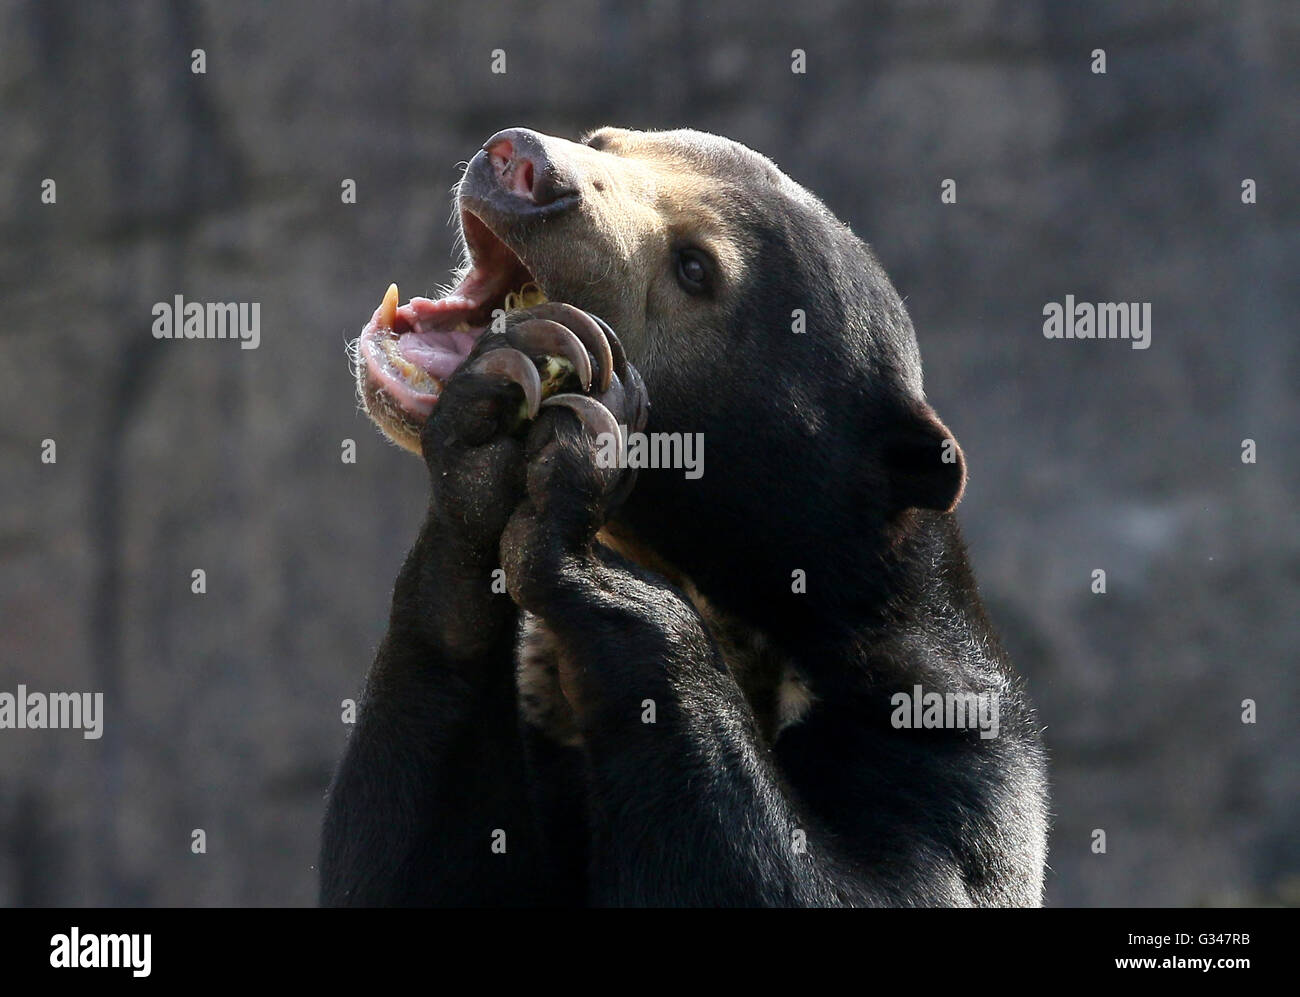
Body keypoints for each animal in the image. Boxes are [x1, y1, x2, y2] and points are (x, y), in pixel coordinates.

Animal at [319, 124, 1050, 904]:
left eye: (695, 267)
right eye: (604, 140)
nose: (521, 165)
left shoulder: (941, 723)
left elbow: (853, 880)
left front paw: (580, 471)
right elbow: (430, 860)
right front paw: (489, 416)